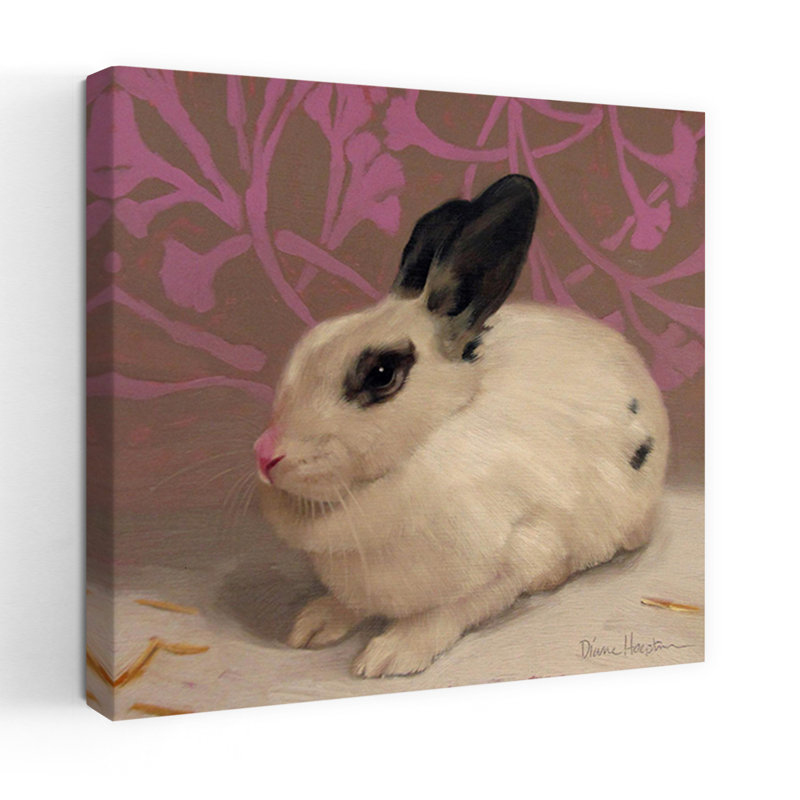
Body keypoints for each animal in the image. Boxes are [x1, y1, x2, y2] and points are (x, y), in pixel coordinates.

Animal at [254, 174, 669, 678]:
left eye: (381, 375)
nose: (266, 456)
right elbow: (350, 604)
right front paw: (314, 624)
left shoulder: (517, 554)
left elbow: (450, 611)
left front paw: (390, 655)